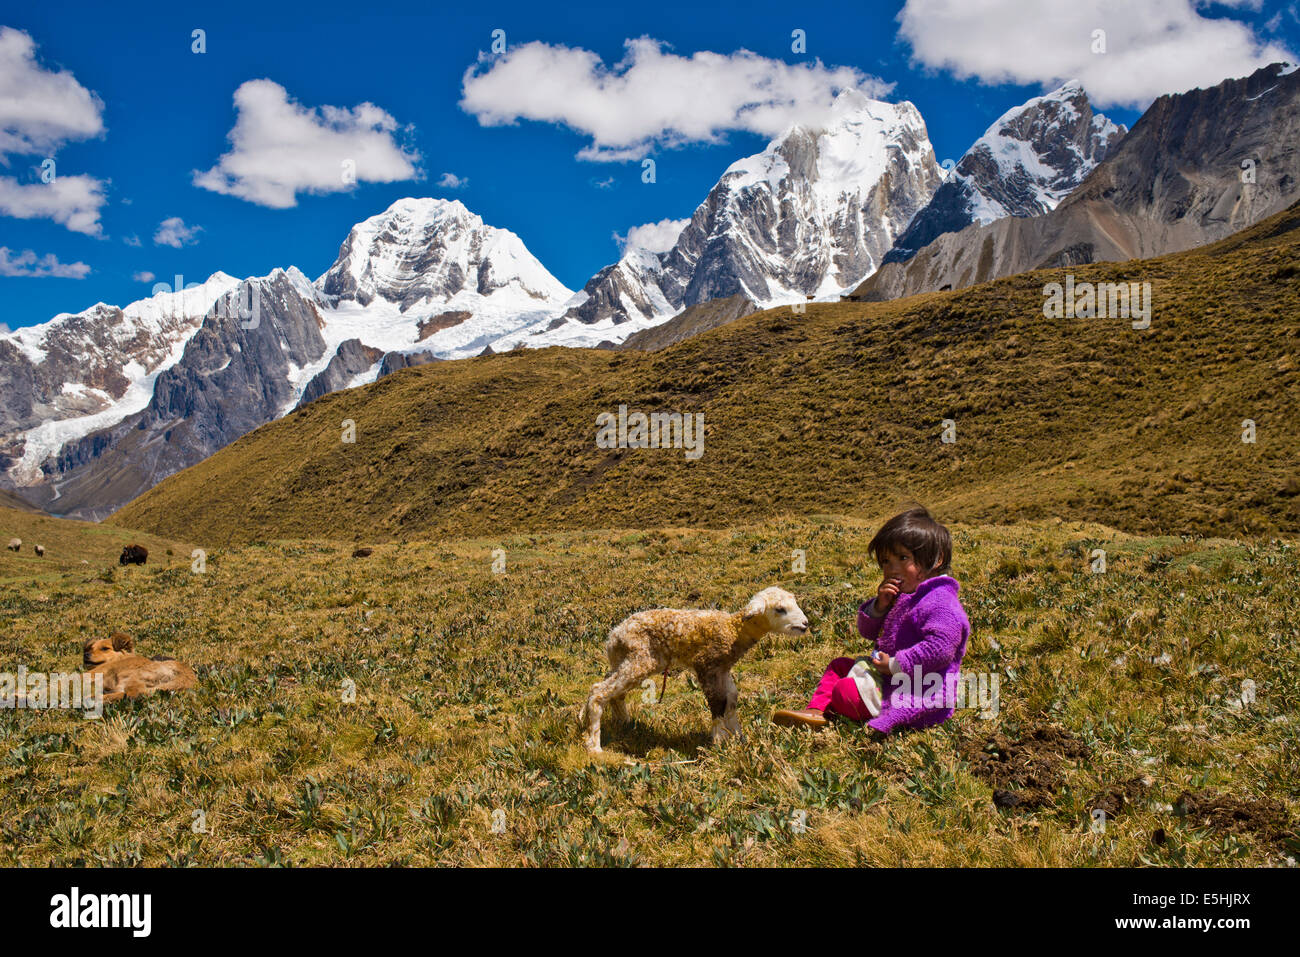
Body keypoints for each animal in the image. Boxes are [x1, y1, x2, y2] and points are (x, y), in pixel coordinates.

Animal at [577, 582, 800, 754]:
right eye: (780, 609)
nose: (805, 624)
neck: (733, 630)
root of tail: (614, 635)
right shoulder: (706, 665)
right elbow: (718, 702)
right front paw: (719, 742)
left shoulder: (723, 669)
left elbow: (731, 700)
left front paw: (737, 737)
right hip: (639, 659)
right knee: (599, 690)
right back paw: (594, 747)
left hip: (622, 660)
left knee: (612, 691)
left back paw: (624, 724)